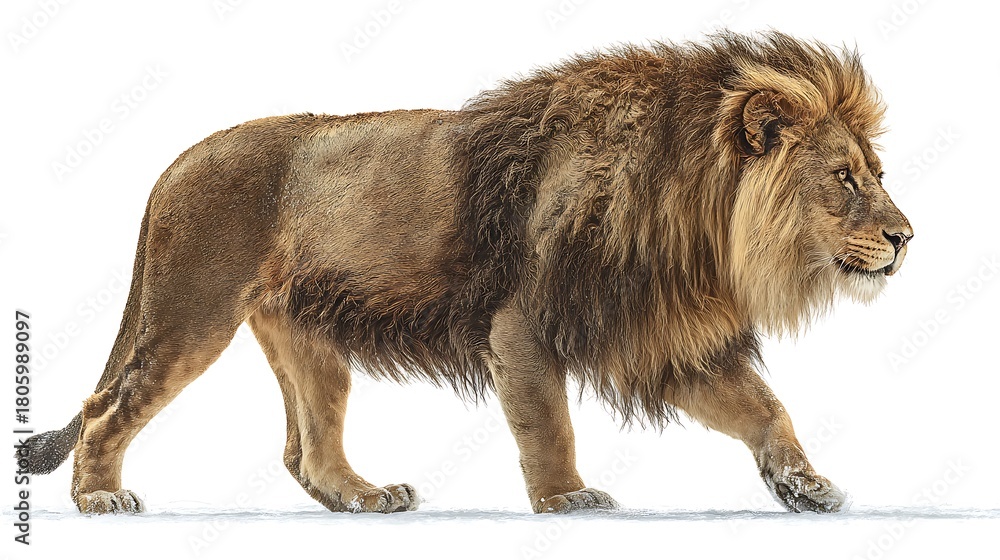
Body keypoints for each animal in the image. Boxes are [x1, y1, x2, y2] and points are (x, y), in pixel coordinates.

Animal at [23, 31, 911, 515]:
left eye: (877, 172)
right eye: (844, 179)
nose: (907, 237)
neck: (694, 223)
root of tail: (173, 163)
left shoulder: (660, 336)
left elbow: (765, 409)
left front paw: (805, 486)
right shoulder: (520, 324)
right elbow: (548, 421)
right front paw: (567, 499)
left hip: (306, 336)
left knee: (308, 452)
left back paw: (366, 499)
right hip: (190, 312)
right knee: (107, 411)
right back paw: (100, 498)